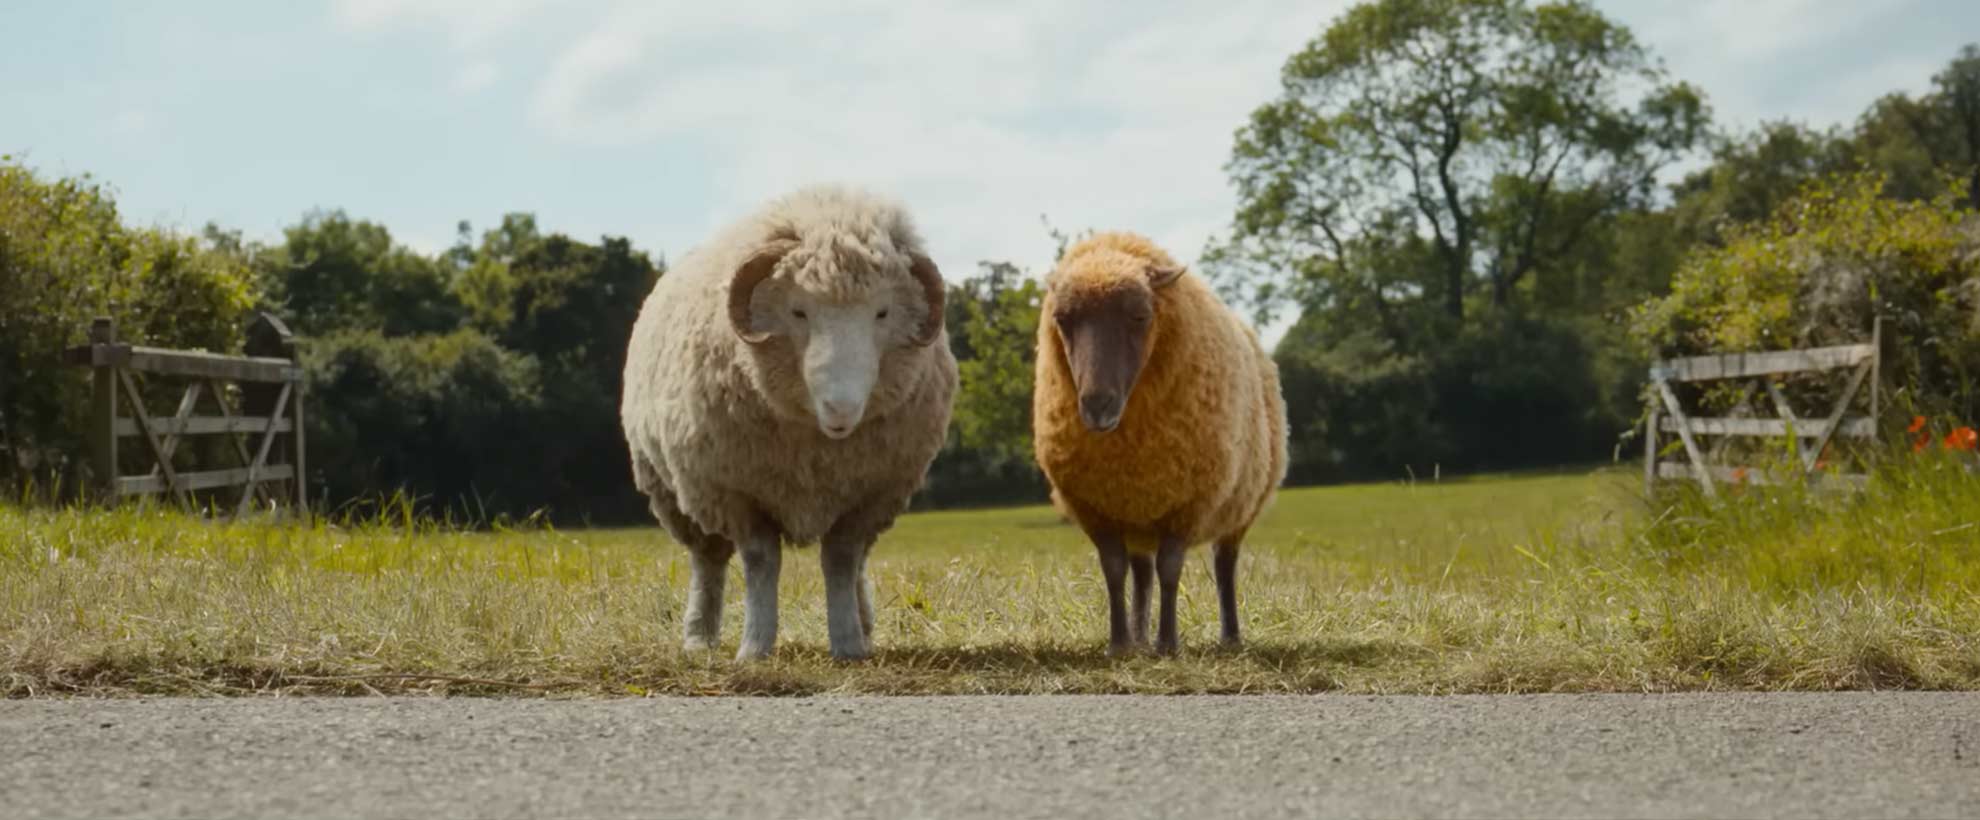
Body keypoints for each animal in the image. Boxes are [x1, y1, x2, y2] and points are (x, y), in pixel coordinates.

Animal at [620, 184, 957, 661]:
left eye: (883, 313)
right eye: (798, 312)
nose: (841, 409)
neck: (816, 449)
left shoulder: (868, 497)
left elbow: (840, 561)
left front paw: (848, 643)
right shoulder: (738, 494)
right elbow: (762, 562)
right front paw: (755, 646)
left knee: (856, 565)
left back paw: (864, 624)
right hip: (676, 492)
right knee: (708, 561)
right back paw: (699, 636)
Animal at [1032, 231, 1288, 656]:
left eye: (1139, 316)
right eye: (1062, 319)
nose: (1097, 405)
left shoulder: (1188, 504)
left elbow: (1170, 569)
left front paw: (1168, 643)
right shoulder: (1097, 509)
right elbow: (1114, 571)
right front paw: (1119, 644)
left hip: (1240, 507)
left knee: (1224, 566)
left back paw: (1230, 636)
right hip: (1138, 513)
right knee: (1141, 573)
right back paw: (1138, 636)